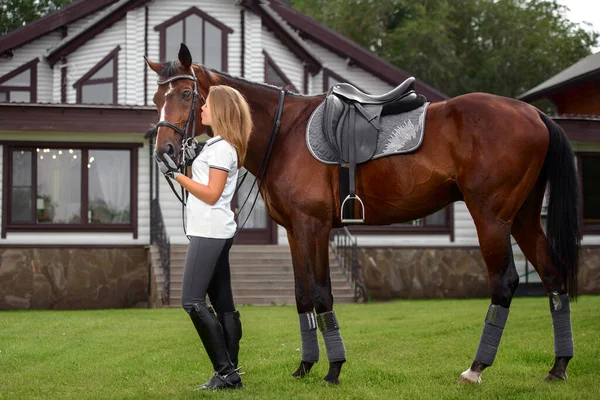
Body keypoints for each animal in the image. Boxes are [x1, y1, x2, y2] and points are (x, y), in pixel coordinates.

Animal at [145, 44, 580, 384]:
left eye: (187, 93)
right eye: (155, 98)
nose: (164, 151)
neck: (284, 133)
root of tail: (534, 114)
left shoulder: (314, 227)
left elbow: (321, 294)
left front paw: (333, 370)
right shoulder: (295, 232)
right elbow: (302, 297)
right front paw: (304, 367)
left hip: (491, 217)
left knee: (505, 281)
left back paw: (476, 368)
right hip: (523, 218)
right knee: (553, 276)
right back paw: (558, 366)